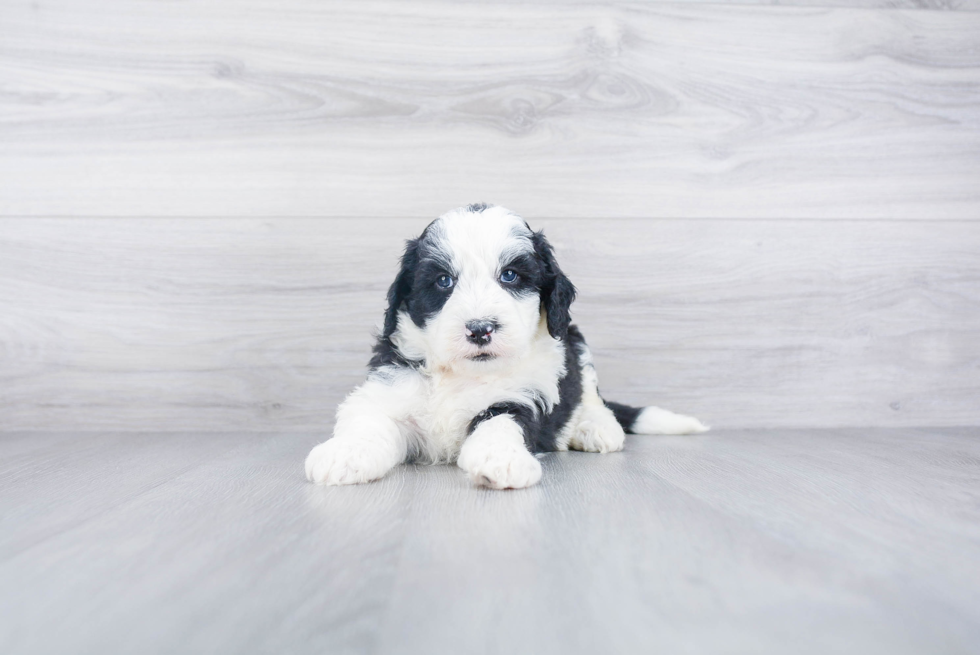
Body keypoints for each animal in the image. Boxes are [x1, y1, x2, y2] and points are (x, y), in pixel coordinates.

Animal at [302, 206, 708, 492]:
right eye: (443, 281)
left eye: (510, 276)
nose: (481, 328)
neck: (461, 374)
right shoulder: (389, 389)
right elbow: (369, 421)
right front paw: (344, 454)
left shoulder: (522, 396)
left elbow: (500, 422)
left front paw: (501, 460)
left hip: (576, 340)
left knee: (590, 392)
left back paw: (596, 427)